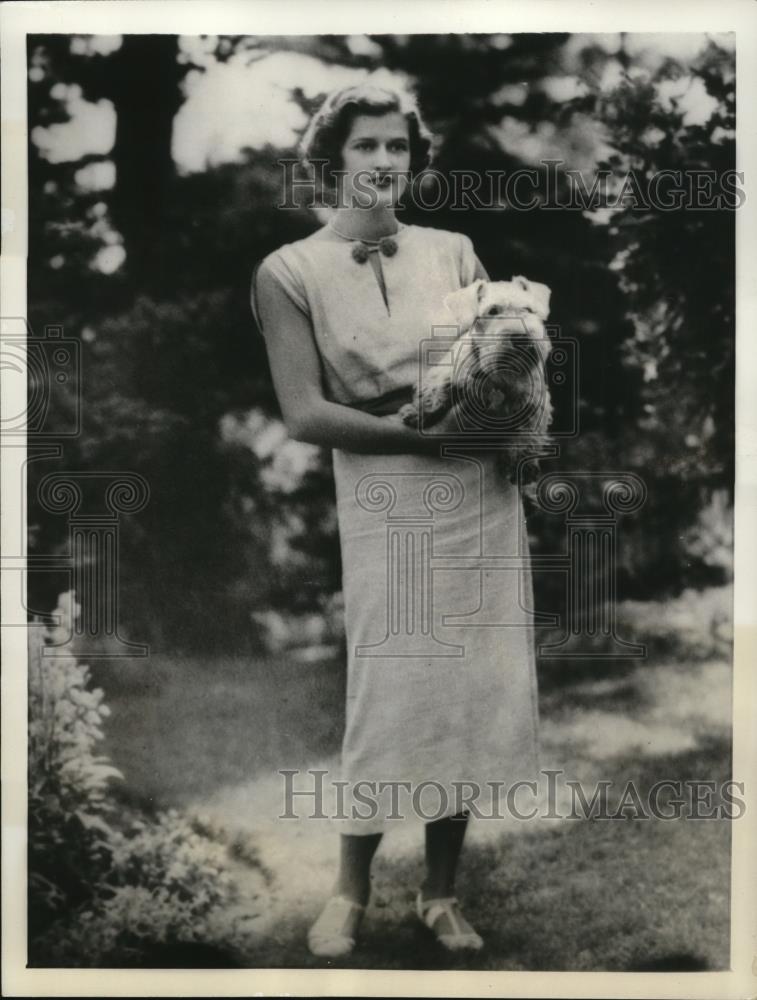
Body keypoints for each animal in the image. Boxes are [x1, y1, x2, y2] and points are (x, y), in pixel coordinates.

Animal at [398, 276, 552, 498]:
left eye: (528, 309)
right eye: (493, 311)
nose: (522, 338)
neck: (498, 374)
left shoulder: (534, 402)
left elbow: (528, 434)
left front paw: (521, 465)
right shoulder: (449, 373)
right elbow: (435, 391)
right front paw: (417, 412)